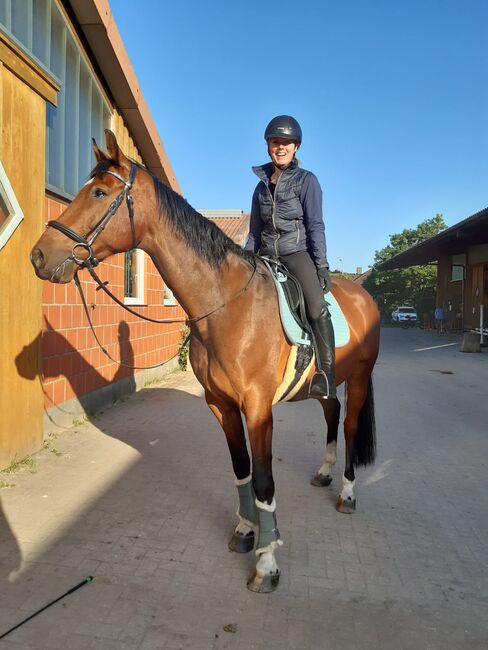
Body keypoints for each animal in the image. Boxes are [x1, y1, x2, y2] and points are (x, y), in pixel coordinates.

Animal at [31, 129, 382, 588]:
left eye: (100, 192)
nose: (39, 256)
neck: (227, 305)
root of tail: (364, 296)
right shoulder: (222, 405)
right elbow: (242, 471)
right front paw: (247, 532)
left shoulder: (258, 409)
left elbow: (264, 481)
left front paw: (267, 563)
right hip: (323, 382)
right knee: (331, 411)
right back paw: (324, 473)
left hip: (358, 379)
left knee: (351, 425)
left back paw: (347, 493)